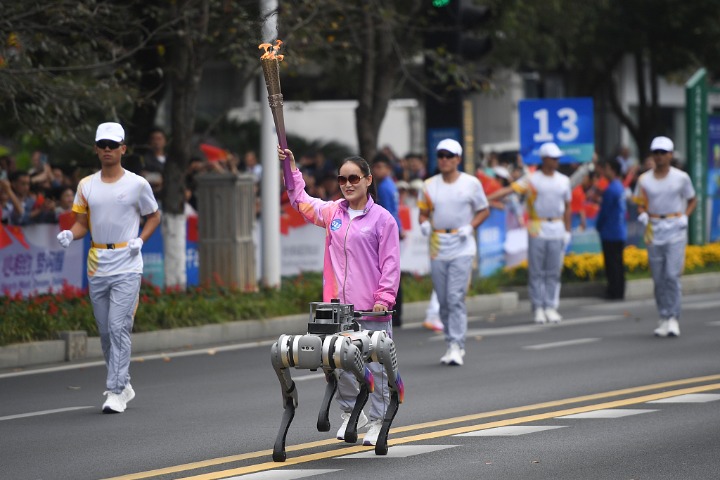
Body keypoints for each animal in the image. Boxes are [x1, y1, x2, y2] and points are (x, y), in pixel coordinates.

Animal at [270, 300, 404, 462]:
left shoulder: (348, 352)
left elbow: (368, 381)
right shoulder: (281, 353)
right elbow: (290, 394)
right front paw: (279, 450)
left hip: (377, 347)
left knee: (391, 383)